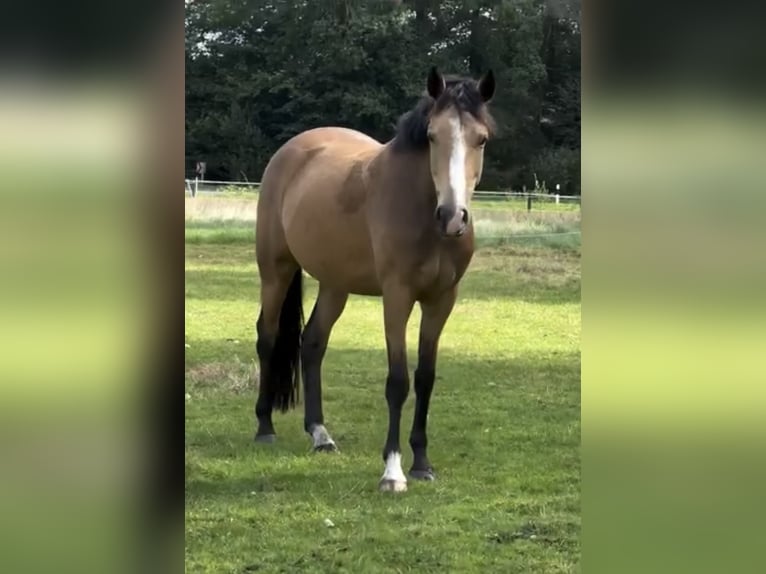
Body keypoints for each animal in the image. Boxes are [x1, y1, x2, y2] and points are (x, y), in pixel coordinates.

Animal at [255, 65, 498, 492]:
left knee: (312, 343)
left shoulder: (441, 300)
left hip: (335, 285)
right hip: (275, 271)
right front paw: (393, 471)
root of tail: (292, 150)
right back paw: (265, 426)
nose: (453, 217)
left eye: (480, 139)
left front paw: (422, 463)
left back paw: (320, 434)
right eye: (432, 136)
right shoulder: (397, 297)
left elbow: (425, 378)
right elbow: (398, 381)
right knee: (267, 339)